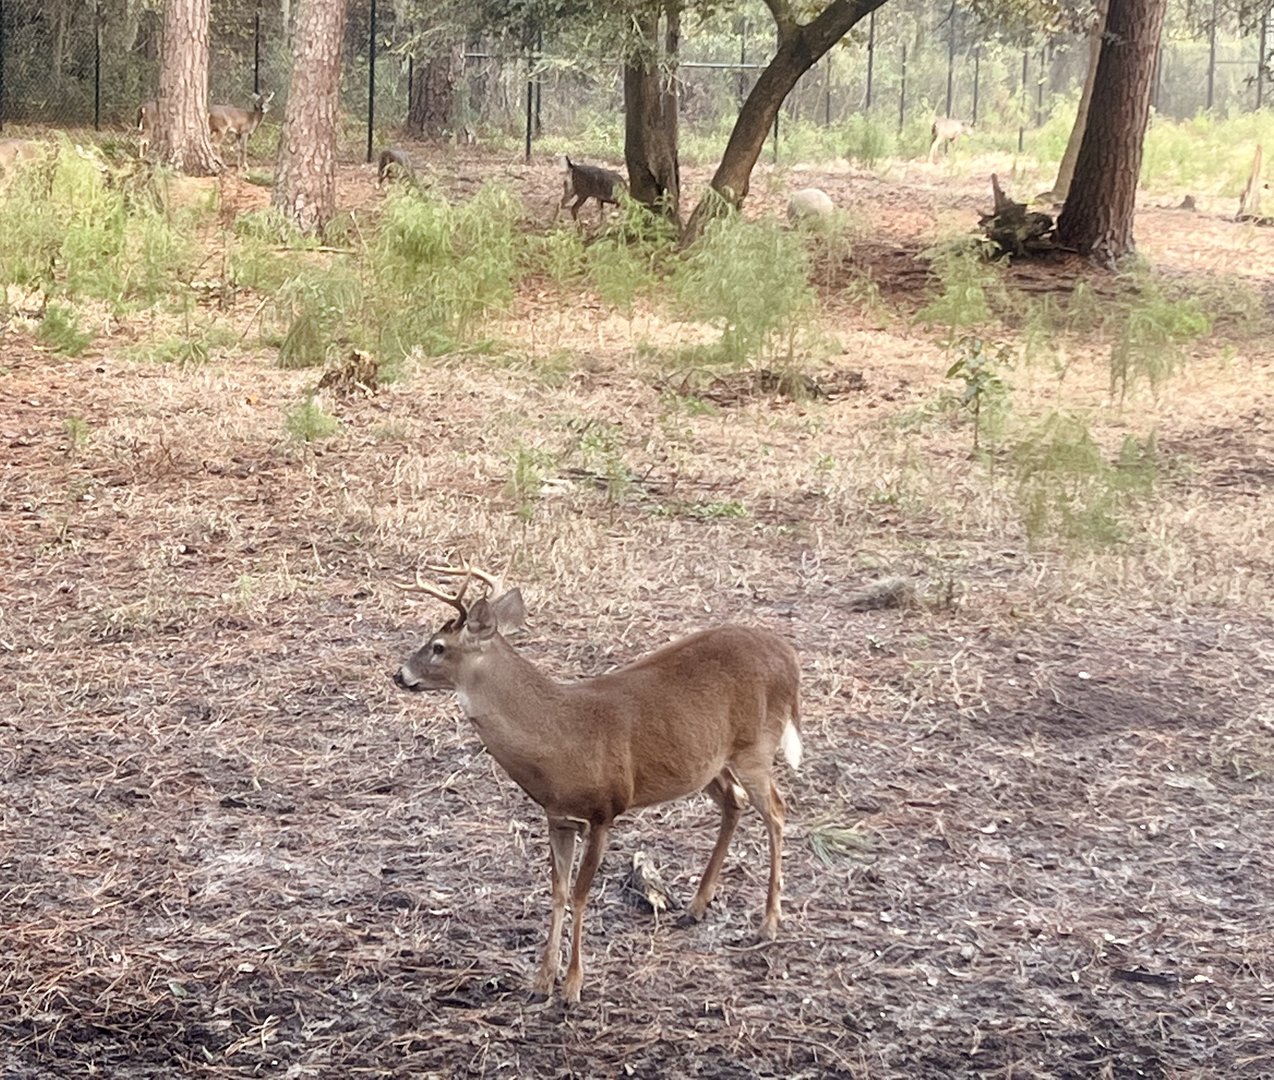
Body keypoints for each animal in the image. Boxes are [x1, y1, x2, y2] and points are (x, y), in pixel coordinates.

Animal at [392, 564, 803, 1005]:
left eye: (438, 646)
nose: (399, 674)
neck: (562, 742)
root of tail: (789, 656)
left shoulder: (604, 812)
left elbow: (580, 893)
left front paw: (572, 985)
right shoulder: (558, 816)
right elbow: (557, 891)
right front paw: (543, 979)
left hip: (756, 746)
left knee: (777, 810)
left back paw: (768, 923)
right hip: (707, 761)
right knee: (734, 801)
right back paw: (696, 906)